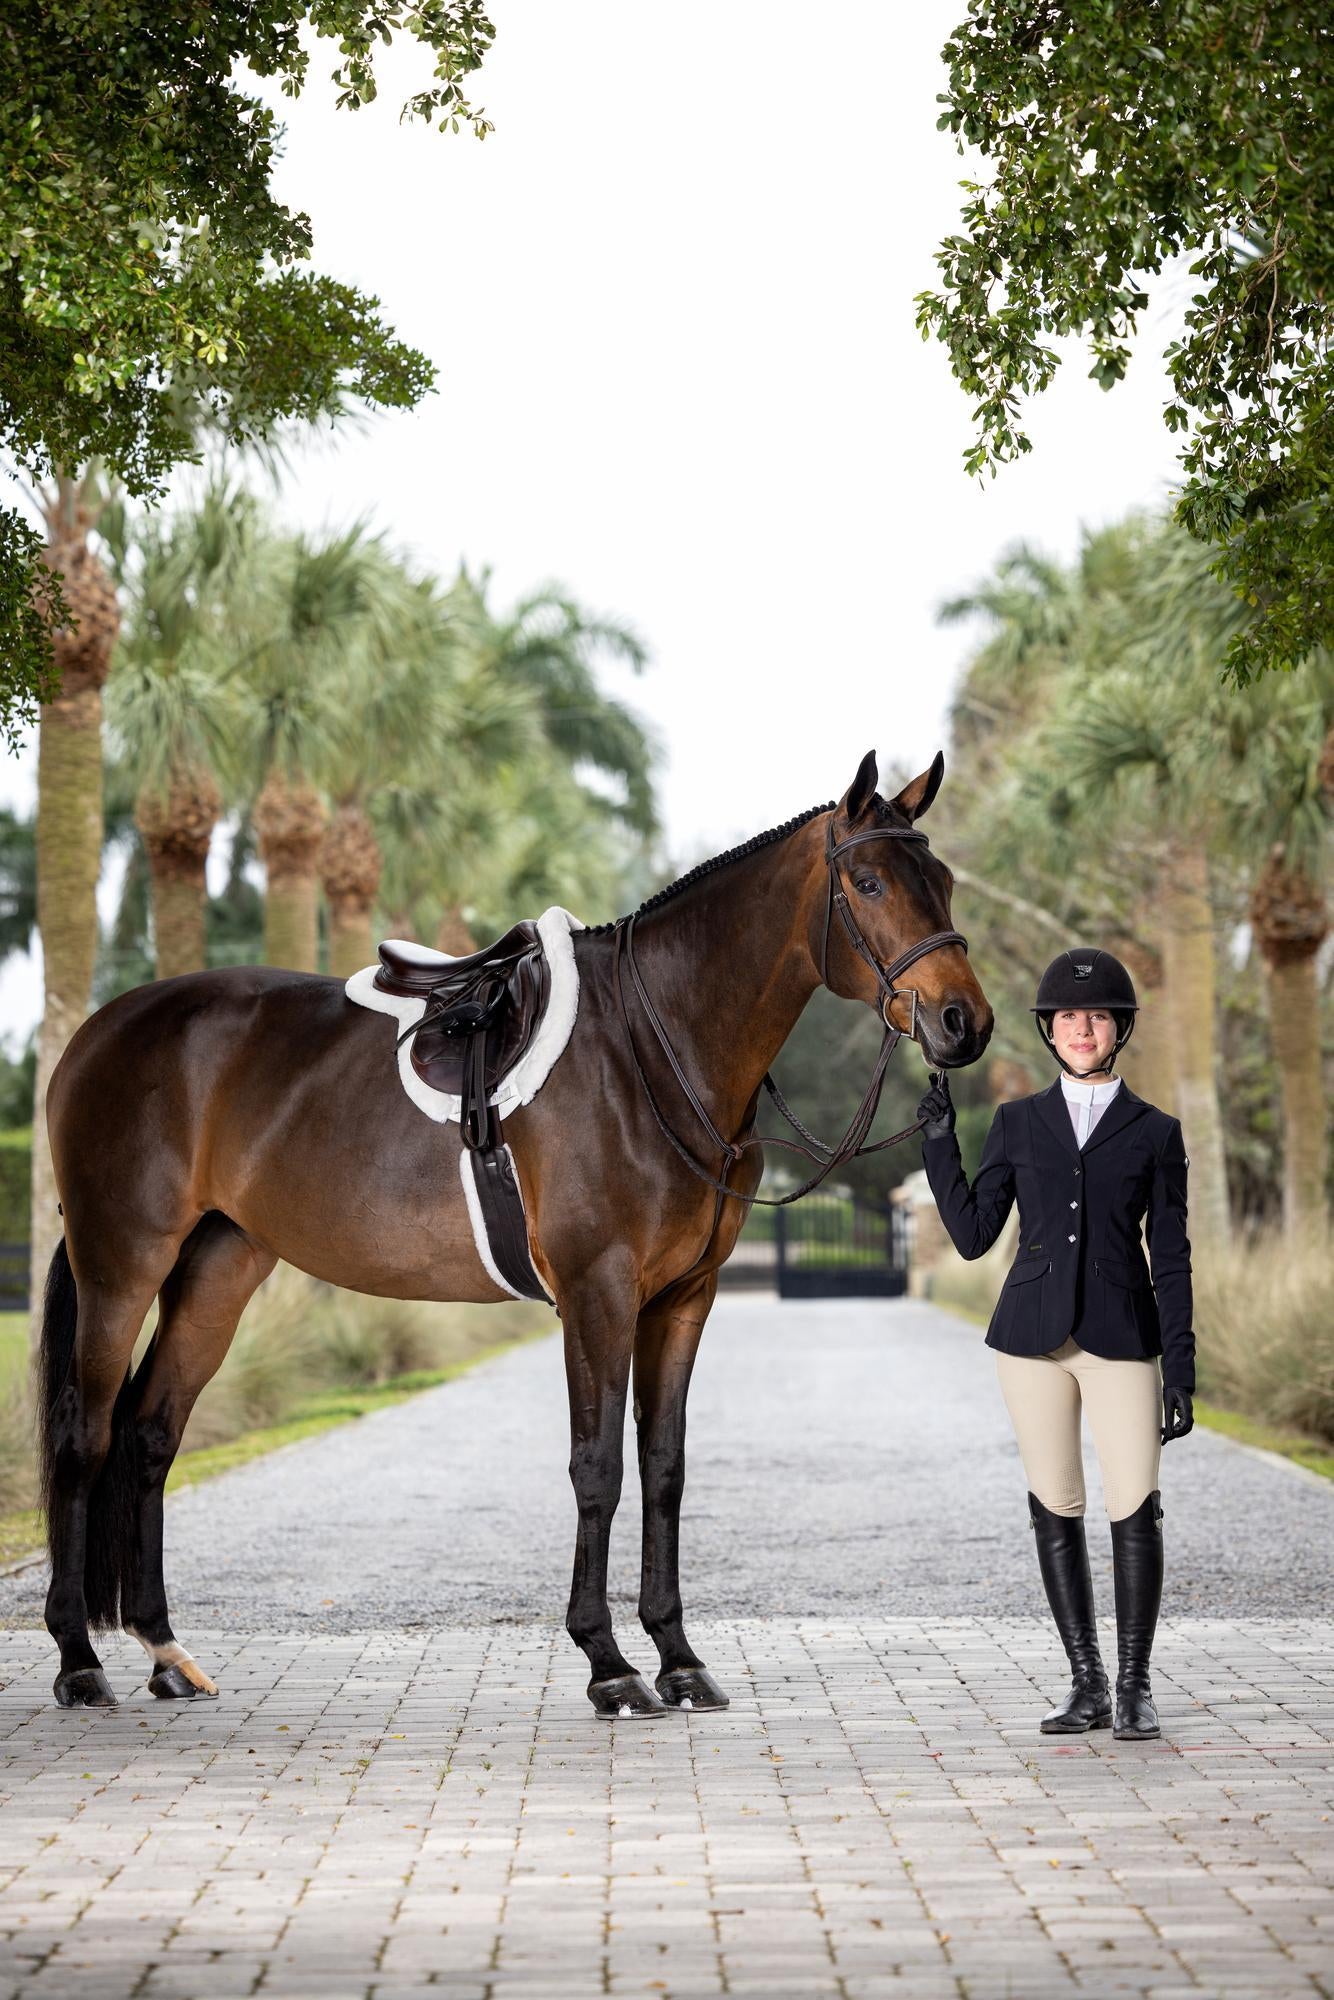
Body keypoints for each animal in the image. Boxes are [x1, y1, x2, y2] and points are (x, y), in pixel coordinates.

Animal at [36, 749, 992, 1716]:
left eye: (945, 881)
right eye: (868, 882)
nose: (965, 1022)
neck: (649, 1048)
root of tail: (98, 1033)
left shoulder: (684, 1298)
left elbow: (665, 1467)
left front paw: (679, 1659)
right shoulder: (597, 1292)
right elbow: (597, 1466)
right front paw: (609, 1665)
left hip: (219, 1269)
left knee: (151, 1434)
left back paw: (165, 1653)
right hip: (122, 1264)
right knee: (84, 1435)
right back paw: (79, 1661)